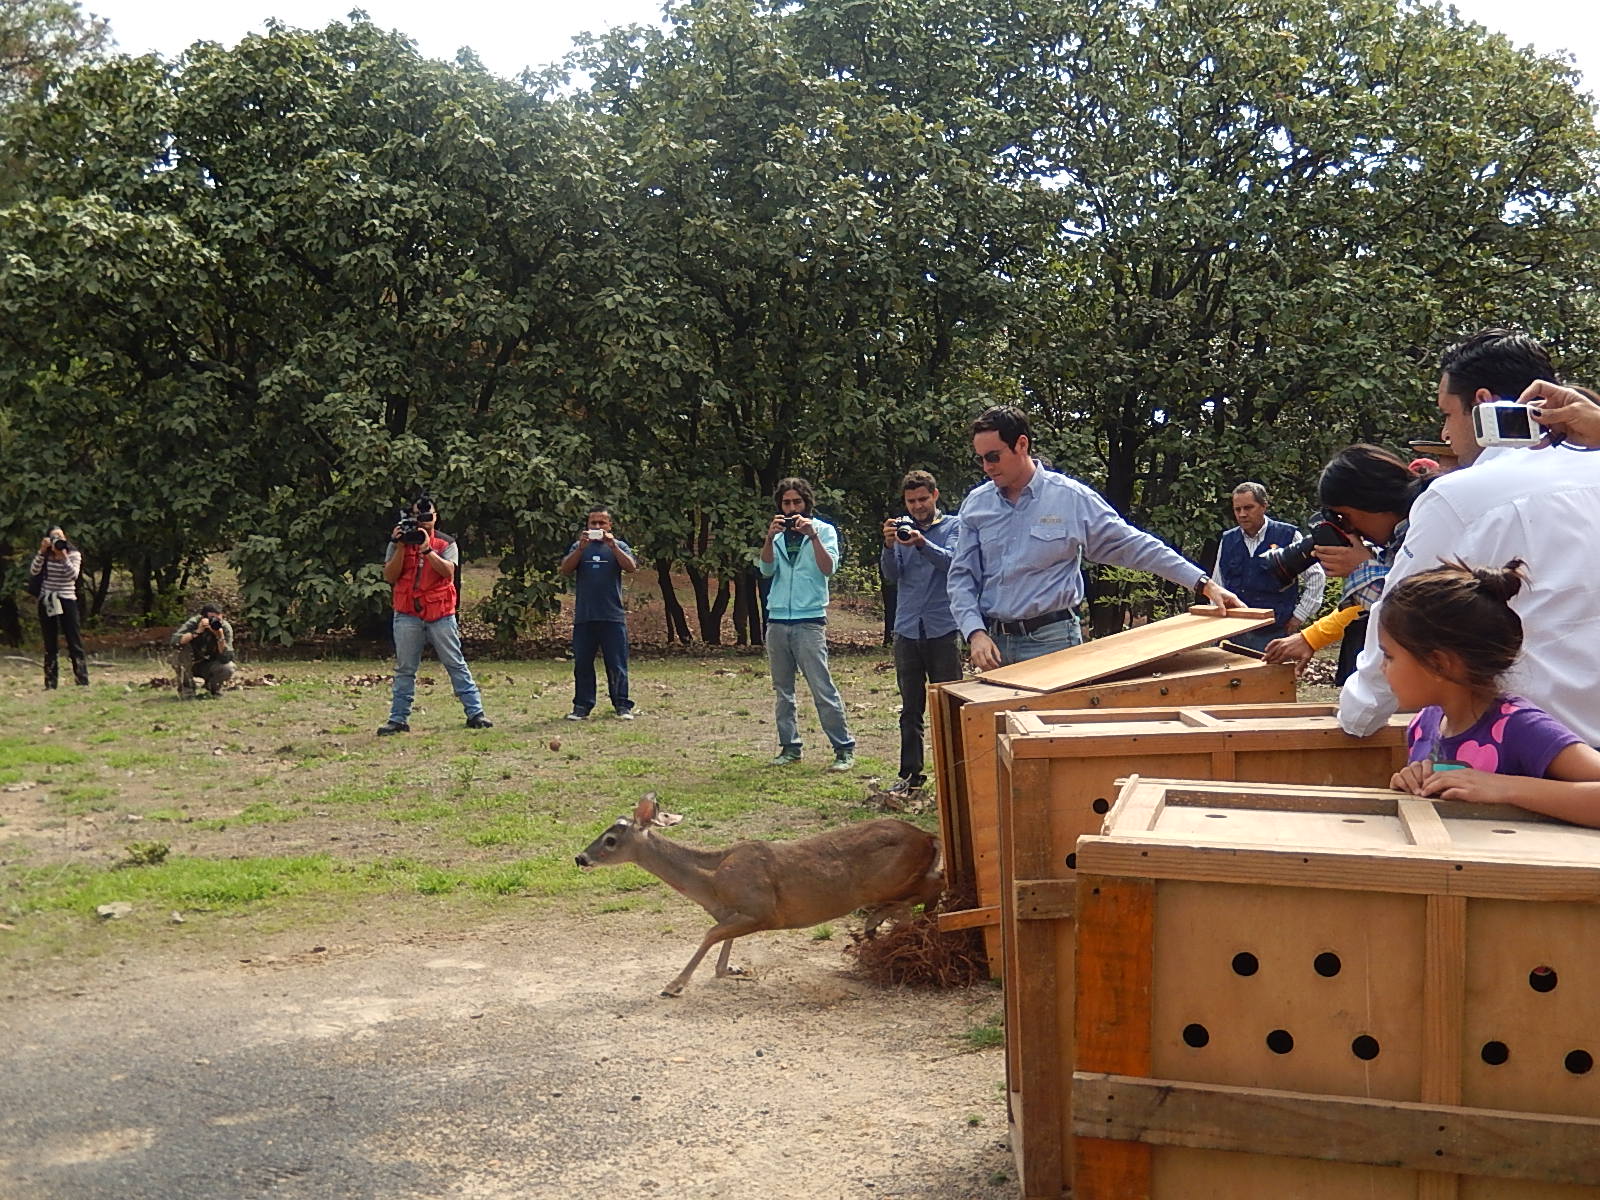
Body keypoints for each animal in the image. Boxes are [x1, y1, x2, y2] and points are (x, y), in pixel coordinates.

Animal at [576, 793, 940, 998]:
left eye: (610, 840)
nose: (580, 858)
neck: (710, 884)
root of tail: (927, 836)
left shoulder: (762, 909)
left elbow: (710, 934)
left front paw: (674, 985)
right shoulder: (736, 913)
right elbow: (722, 939)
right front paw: (732, 969)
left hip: (891, 879)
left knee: (935, 885)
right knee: (920, 896)